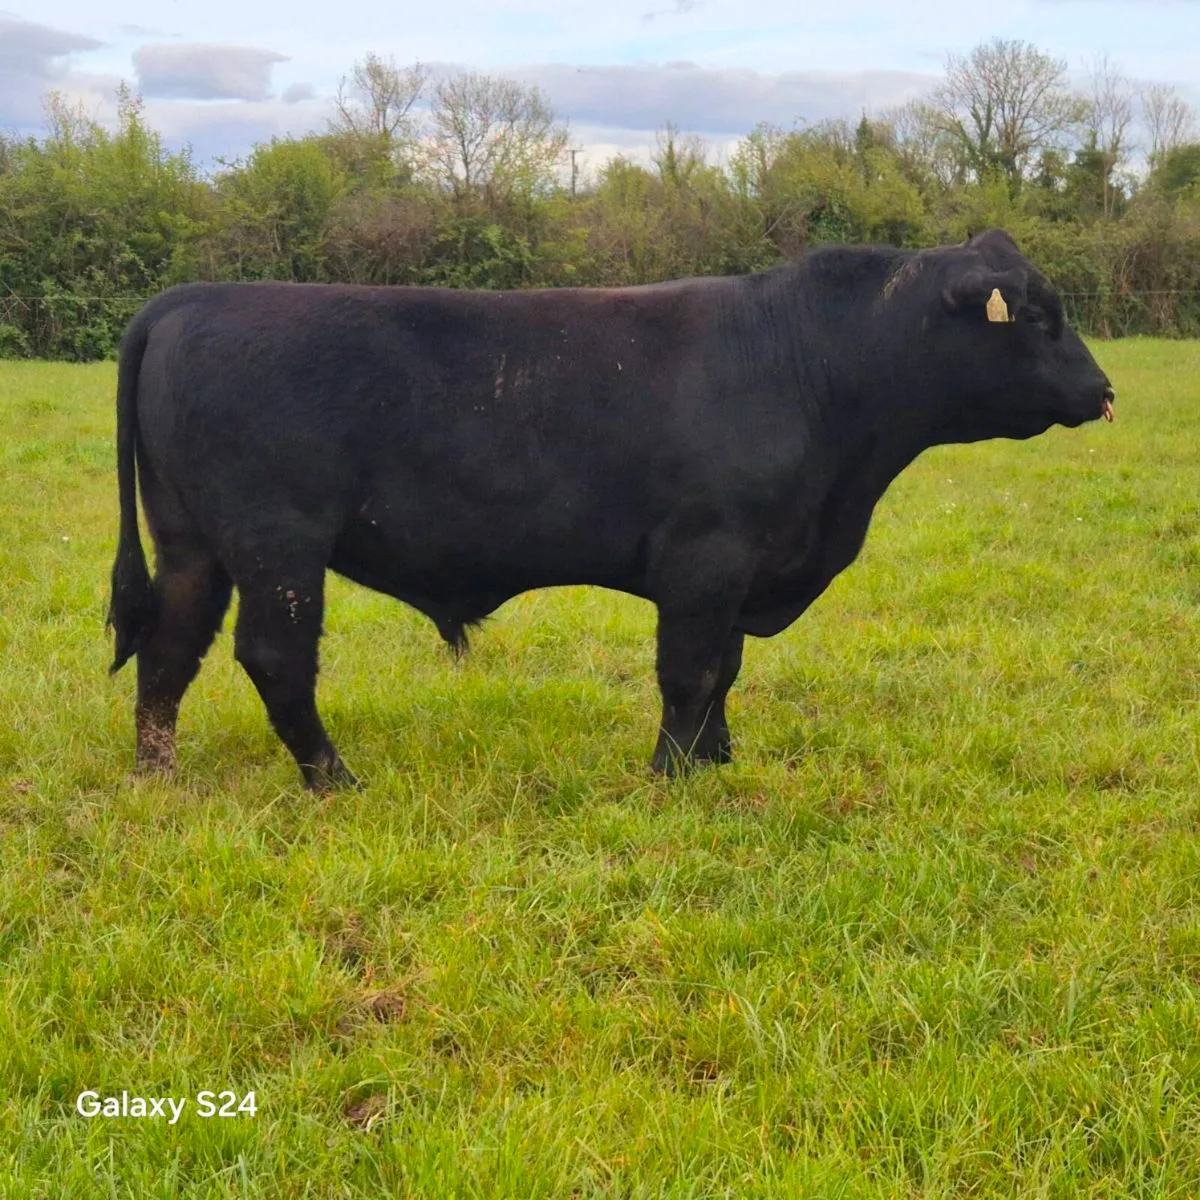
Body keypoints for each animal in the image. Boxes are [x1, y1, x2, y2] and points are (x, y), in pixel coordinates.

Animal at [107, 229, 1115, 790]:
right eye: (1038, 318)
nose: (1105, 392)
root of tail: (193, 297)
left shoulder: (745, 566)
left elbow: (726, 672)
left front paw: (718, 761)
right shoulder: (707, 557)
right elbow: (691, 672)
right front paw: (673, 777)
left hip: (193, 542)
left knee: (169, 648)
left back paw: (158, 776)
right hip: (277, 546)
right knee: (273, 659)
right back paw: (334, 781)